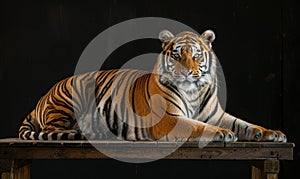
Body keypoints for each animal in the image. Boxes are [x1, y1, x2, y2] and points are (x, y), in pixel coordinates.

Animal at [17, 29, 288, 142]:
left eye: (196, 55)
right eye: (177, 55)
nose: (187, 72)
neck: (193, 92)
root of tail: (41, 98)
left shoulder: (216, 115)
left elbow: (245, 124)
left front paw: (272, 133)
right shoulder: (170, 119)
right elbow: (197, 127)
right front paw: (222, 134)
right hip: (68, 101)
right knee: (53, 129)